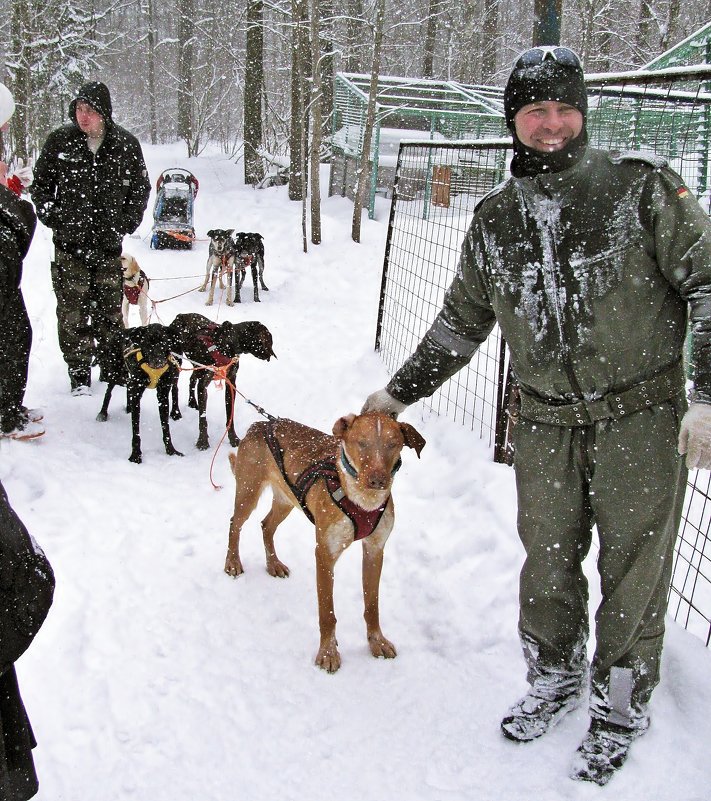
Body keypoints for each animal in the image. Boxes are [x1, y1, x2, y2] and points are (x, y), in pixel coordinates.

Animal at [225, 412, 426, 668]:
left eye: (393, 444)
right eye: (361, 442)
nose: (377, 479)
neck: (363, 500)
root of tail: (261, 424)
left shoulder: (374, 550)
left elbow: (372, 606)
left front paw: (376, 641)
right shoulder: (324, 554)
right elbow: (327, 612)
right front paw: (328, 653)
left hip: (286, 500)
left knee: (266, 526)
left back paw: (273, 564)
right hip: (248, 493)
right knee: (235, 524)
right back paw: (232, 562)